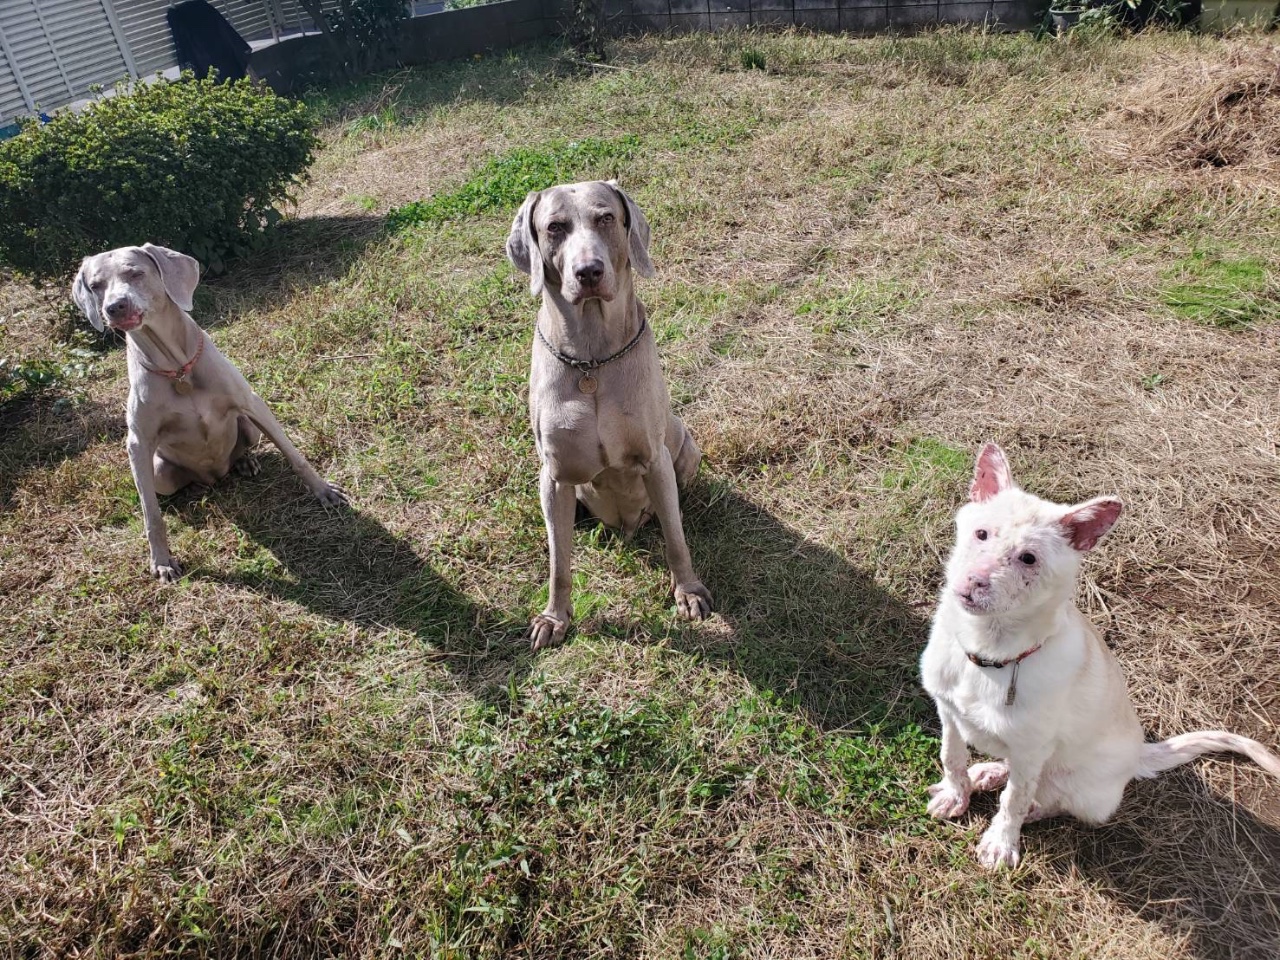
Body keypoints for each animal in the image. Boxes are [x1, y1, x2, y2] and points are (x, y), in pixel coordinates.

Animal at [72, 244, 347, 581]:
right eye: (95, 286)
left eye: (135, 273)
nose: (115, 307)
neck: (177, 368)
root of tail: (214, 475)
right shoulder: (137, 443)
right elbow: (151, 514)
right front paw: (161, 561)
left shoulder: (252, 404)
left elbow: (295, 456)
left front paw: (324, 491)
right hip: (160, 471)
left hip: (248, 426)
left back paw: (245, 462)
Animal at [506, 180, 712, 650]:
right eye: (555, 227)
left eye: (605, 218)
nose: (589, 272)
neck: (592, 360)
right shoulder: (555, 477)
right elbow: (559, 562)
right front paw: (554, 617)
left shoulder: (655, 459)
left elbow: (676, 539)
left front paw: (689, 592)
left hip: (685, 447)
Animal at [921, 442, 1280, 869]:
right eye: (981, 534)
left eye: (1029, 559)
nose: (971, 584)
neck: (992, 654)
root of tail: (1139, 753)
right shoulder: (949, 713)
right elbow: (952, 756)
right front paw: (955, 795)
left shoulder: (1032, 747)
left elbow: (1014, 801)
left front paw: (1001, 842)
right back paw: (989, 772)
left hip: (1084, 790)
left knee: (1048, 799)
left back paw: (1022, 800)